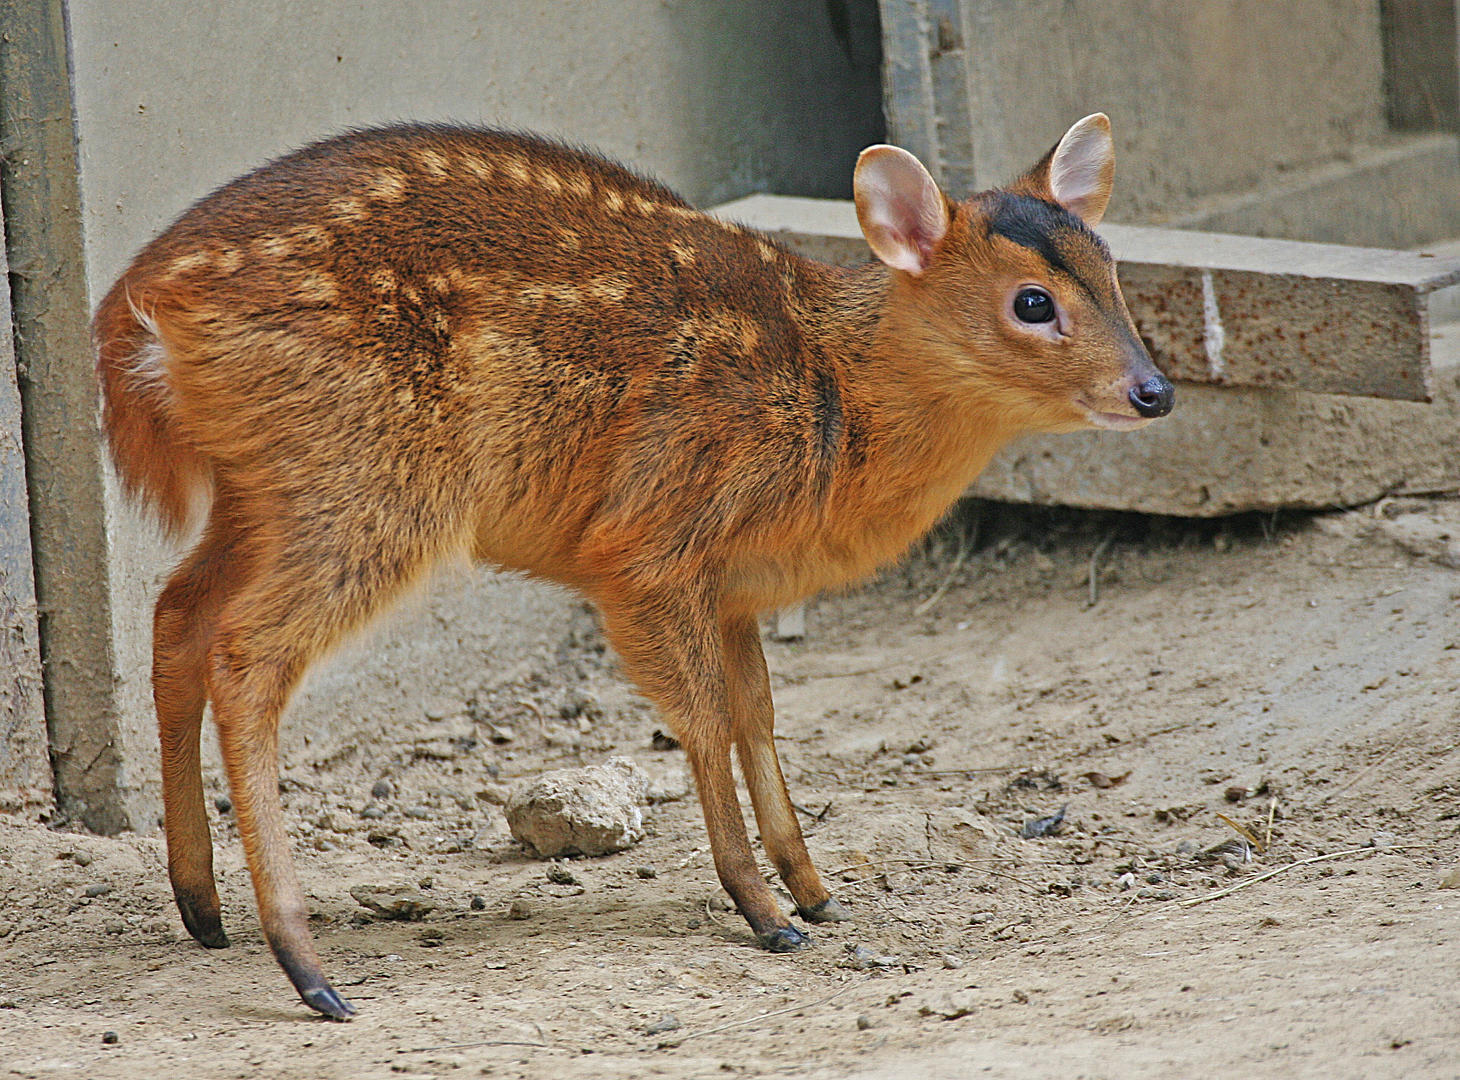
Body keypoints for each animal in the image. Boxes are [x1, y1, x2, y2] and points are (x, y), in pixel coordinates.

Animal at [97, 113, 1173, 1015]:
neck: (836, 398)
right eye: (1031, 302)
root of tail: (139, 313)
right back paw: (306, 965)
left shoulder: (733, 586)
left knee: (176, 613)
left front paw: (815, 890)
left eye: (1116, 278)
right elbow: (701, 719)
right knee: (246, 651)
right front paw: (764, 913)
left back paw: (201, 909)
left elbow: (757, 712)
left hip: (269, 487)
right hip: (368, 479)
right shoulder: (650, 547)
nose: (1154, 390)